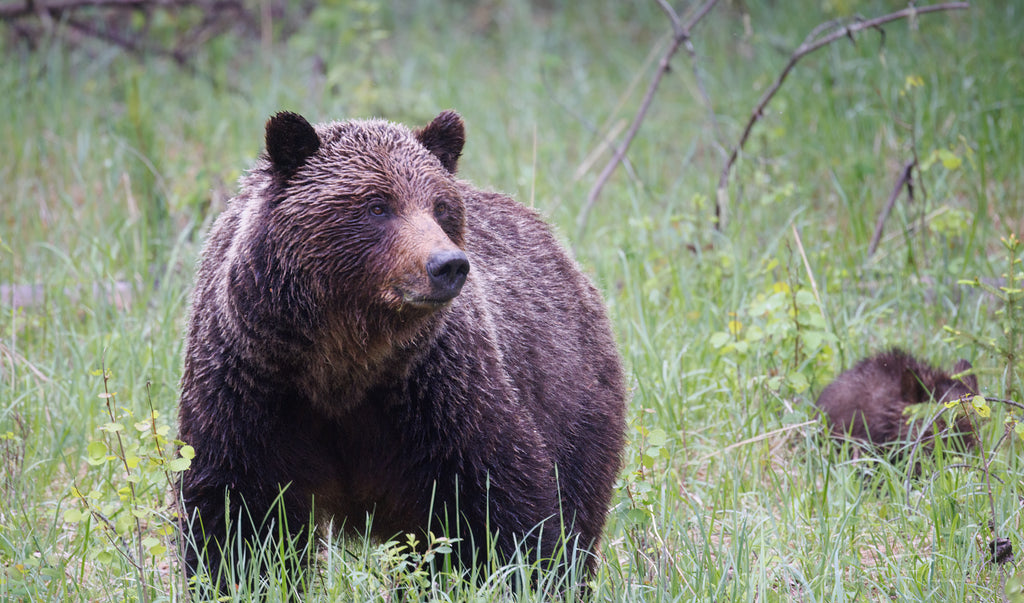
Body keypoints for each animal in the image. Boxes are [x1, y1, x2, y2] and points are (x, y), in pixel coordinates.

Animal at [179, 110, 626, 585]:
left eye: (440, 207)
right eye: (378, 205)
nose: (448, 265)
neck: (342, 363)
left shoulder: (438, 393)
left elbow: (499, 503)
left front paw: (522, 574)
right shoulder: (251, 389)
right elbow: (236, 519)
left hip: (572, 402)